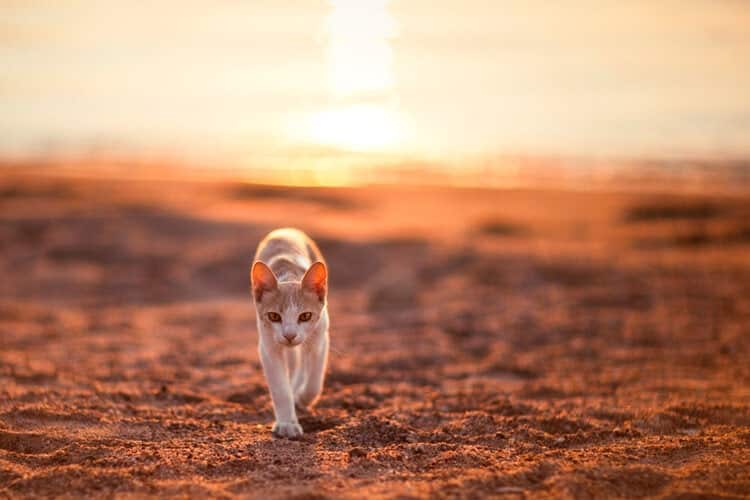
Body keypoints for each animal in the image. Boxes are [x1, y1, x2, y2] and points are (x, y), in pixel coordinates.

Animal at [251, 227, 330, 438]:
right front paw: (287, 424)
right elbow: (280, 388)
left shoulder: (320, 337)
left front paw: (303, 397)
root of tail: (286, 230)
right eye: (274, 316)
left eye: (305, 316)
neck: (289, 277)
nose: (289, 335)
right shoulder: (268, 347)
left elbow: (314, 380)